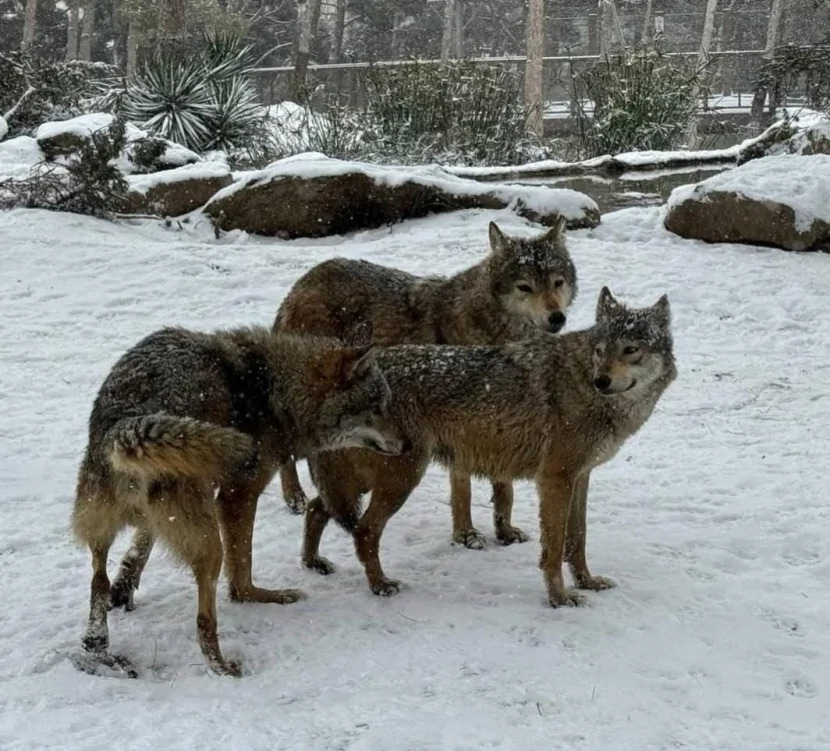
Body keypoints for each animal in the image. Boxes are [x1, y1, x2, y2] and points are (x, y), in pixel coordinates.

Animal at [73, 326, 404, 680]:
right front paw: (255, 595)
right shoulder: (237, 496)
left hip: (103, 529)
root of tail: (122, 424)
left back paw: (97, 642)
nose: (408, 444)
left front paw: (124, 589)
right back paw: (226, 658)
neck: (275, 392)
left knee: (97, 581)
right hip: (210, 544)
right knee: (206, 616)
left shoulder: (158, 519)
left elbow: (138, 548)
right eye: (378, 406)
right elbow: (241, 572)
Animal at [272, 219, 580, 552]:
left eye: (557, 283)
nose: (557, 317)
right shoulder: (462, 423)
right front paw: (466, 534)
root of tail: (302, 282)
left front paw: (505, 531)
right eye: (525, 287)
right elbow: (463, 488)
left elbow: (505, 488)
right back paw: (294, 497)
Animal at [302, 288, 680, 612]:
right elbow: (555, 547)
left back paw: (312, 563)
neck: (585, 387)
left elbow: (578, 539)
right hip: (400, 477)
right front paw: (559, 599)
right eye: (600, 350)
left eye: (630, 349)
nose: (601, 380)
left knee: (316, 507)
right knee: (364, 530)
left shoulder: (580, 477)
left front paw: (587, 582)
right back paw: (380, 585)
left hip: (364, 481)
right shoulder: (555, 479)